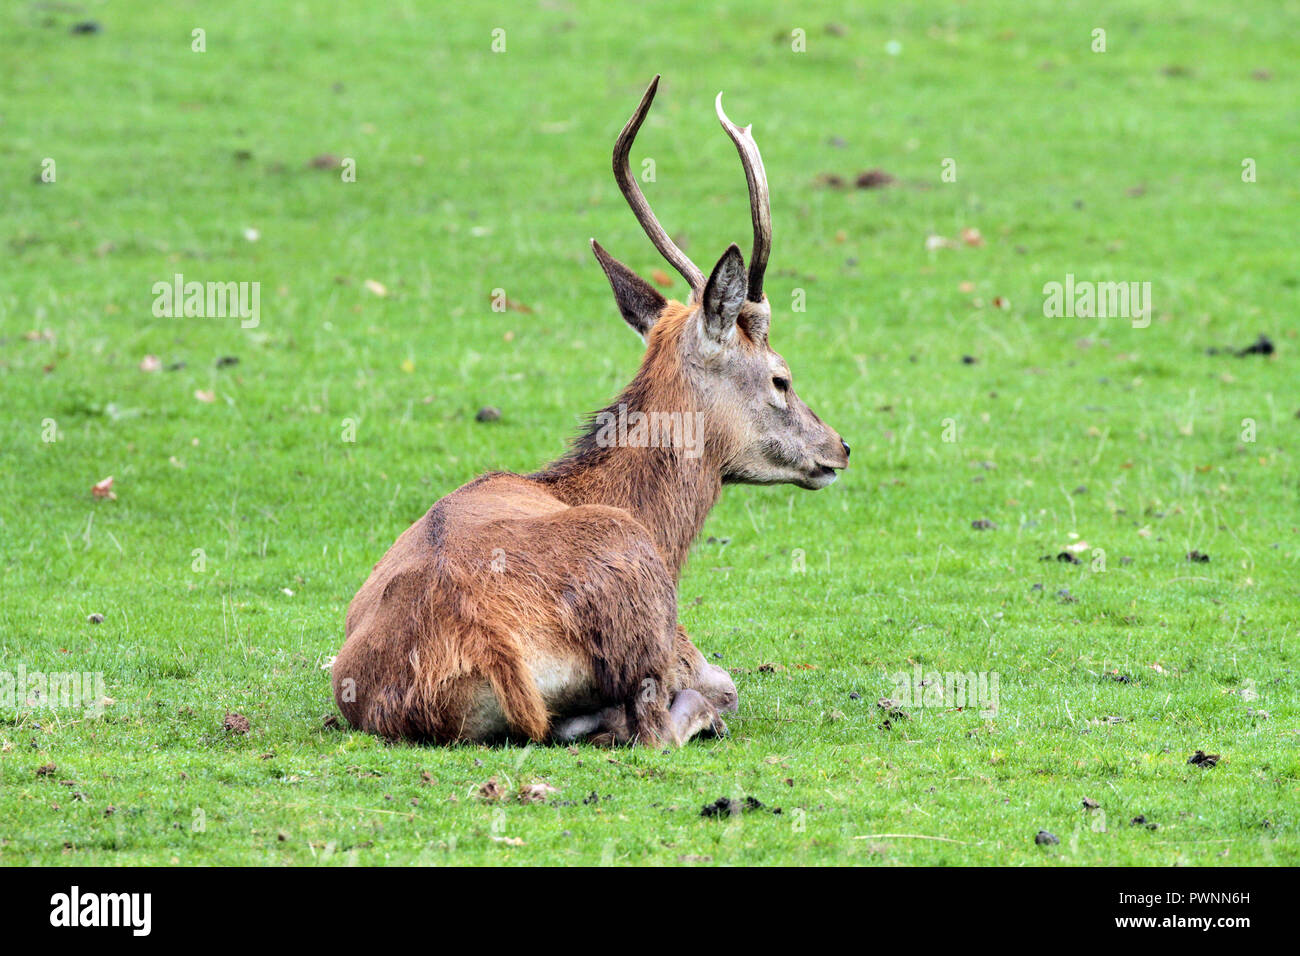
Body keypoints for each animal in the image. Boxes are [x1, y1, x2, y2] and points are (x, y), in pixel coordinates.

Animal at [331, 76, 849, 747]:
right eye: (781, 378)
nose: (838, 447)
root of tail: (485, 640)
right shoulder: (679, 635)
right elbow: (725, 683)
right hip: (643, 612)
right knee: (657, 722)